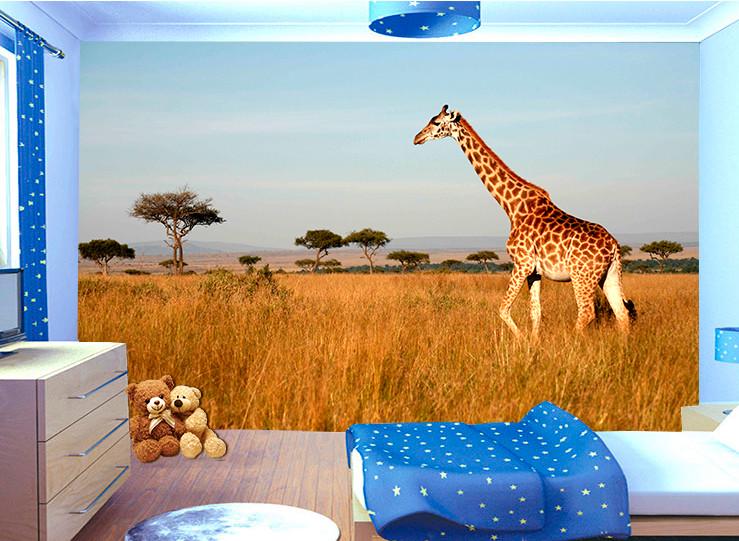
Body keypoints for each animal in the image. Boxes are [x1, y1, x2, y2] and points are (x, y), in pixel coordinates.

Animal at [413, 105, 636, 337]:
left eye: (436, 122)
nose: (417, 137)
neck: (512, 206)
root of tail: (614, 246)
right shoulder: (534, 272)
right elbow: (535, 312)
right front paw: (533, 342)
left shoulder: (522, 263)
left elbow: (503, 309)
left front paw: (521, 340)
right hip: (609, 274)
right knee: (621, 313)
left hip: (582, 275)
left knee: (586, 312)